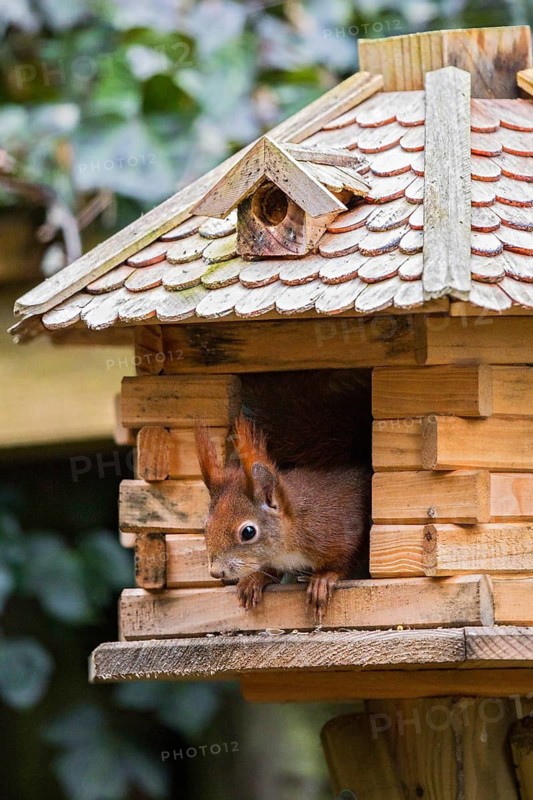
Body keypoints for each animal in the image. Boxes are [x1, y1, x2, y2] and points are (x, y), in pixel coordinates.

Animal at [195, 370, 372, 623]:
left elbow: (347, 558)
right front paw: (254, 579)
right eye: (205, 526)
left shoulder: (342, 529)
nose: (216, 572)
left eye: (248, 532)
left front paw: (323, 578)